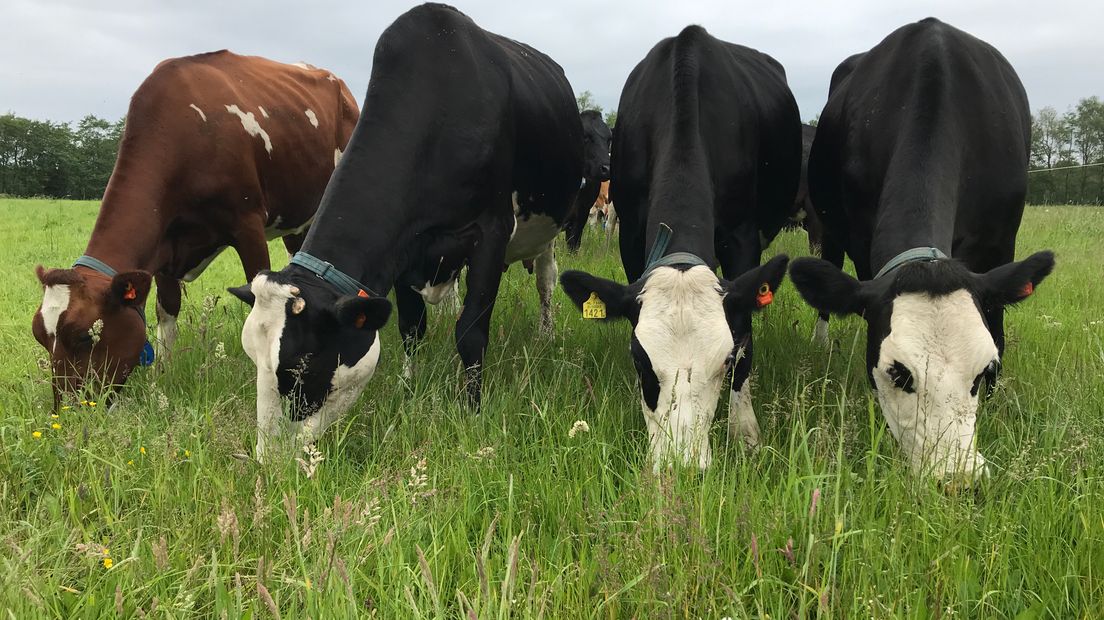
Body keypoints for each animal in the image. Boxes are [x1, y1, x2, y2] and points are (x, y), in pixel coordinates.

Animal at [31, 49, 357, 405]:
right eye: (39, 336)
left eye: (84, 336)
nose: (70, 409)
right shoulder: (165, 245)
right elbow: (167, 310)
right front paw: (162, 375)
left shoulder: (248, 224)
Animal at [227, 3, 582, 458]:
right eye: (252, 358)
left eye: (301, 366)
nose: (269, 460)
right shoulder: (402, 250)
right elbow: (411, 329)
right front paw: (408, 388)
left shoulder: (492, 229)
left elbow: (471, 332)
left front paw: (472, 409)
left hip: (549, 227)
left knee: (545, 281)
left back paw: (545, 333)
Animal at [790, 15, 1055, 478]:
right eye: (899, 374)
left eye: (984, 371)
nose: (957, 479)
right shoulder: (864, 245)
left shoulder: (1002, 244)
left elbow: (997, 324)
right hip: (827, 229)